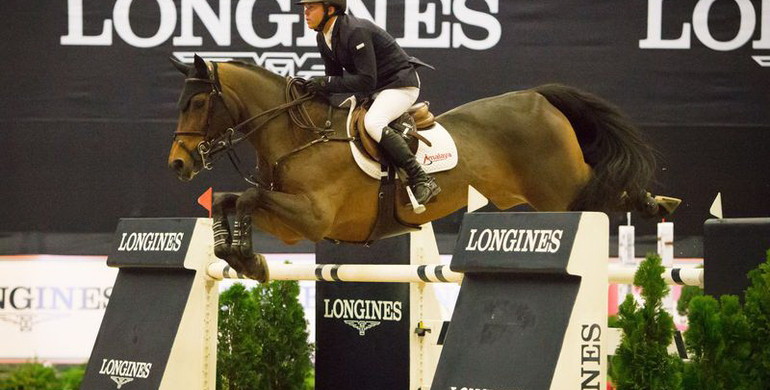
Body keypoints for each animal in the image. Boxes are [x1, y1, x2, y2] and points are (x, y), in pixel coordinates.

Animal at [166, 54, 672, 280]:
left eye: (197, 103)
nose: (178, 164)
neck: (297, 137)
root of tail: (537, 97)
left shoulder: (312, 218)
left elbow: (248, 197)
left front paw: (248, 259)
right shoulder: (291, 226)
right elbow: (230, 199)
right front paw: (237, 255)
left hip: (563, 190)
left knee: (610, 187)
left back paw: (657, 203)